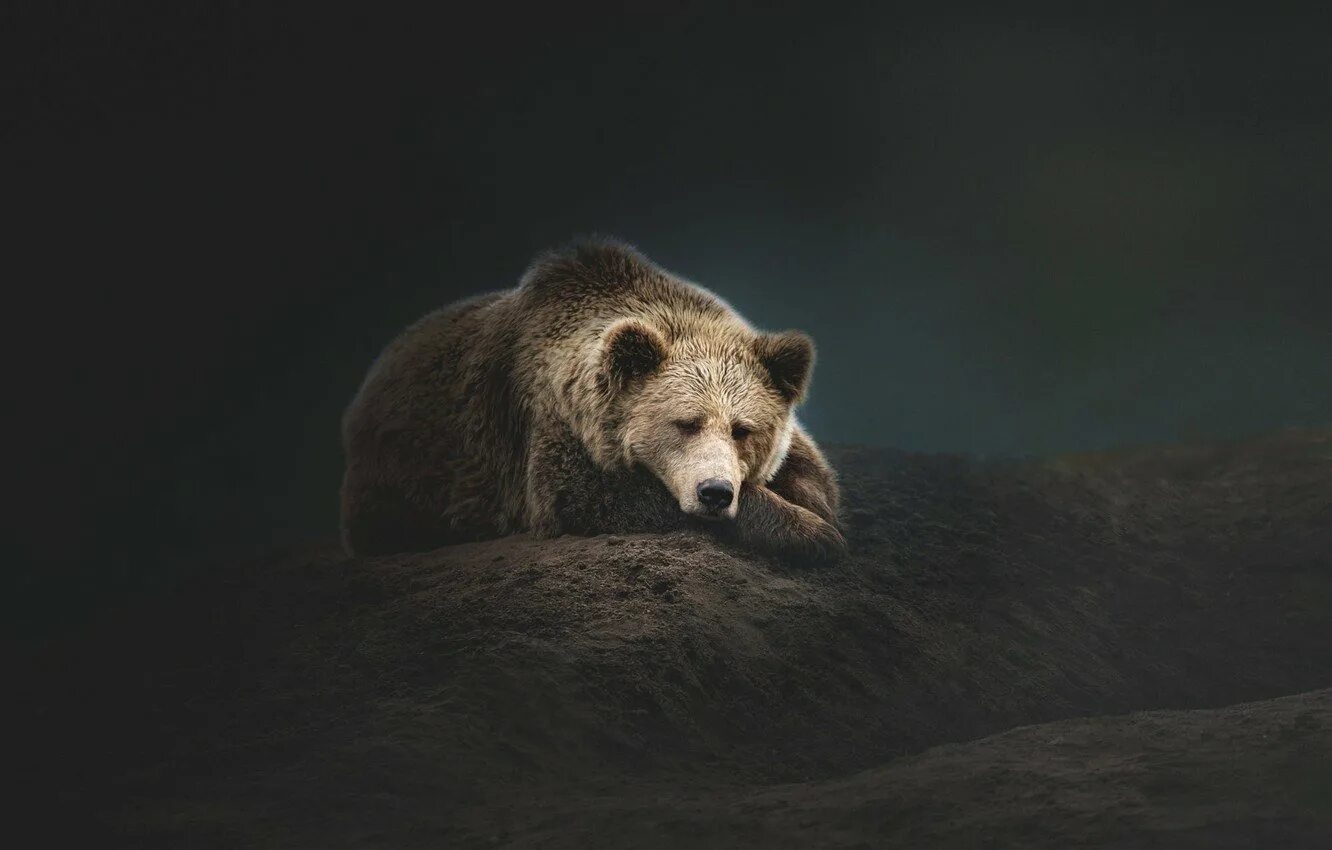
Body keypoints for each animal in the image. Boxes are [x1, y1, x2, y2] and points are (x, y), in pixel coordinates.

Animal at [339, 238, 846, 563]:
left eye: (743, 430)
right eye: (685, 423)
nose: (716, 492)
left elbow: (811, 469)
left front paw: (814, 507)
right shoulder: (551, 424)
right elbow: (593, 497)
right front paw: (812, 534)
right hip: (401, 474)